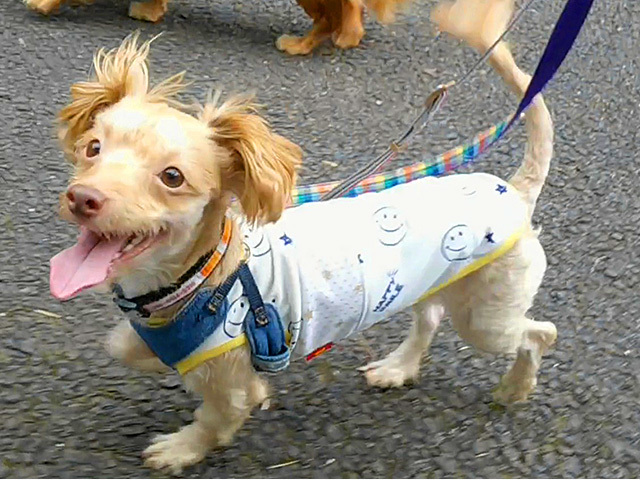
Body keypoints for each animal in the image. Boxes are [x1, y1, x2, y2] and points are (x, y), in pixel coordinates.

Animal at [49, 0, 556, 472]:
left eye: (172, 177)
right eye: (93, 148)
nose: (83, 197)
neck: (200, 278)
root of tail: (514, 191)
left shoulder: (234, 375)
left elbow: (218, 415)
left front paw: (181, 449)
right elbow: (126, 346)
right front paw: (154, 358)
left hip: (487, 317)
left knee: (538, 334)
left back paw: (516, 387)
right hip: (437, 281)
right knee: (430, 318)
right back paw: (399, 367)